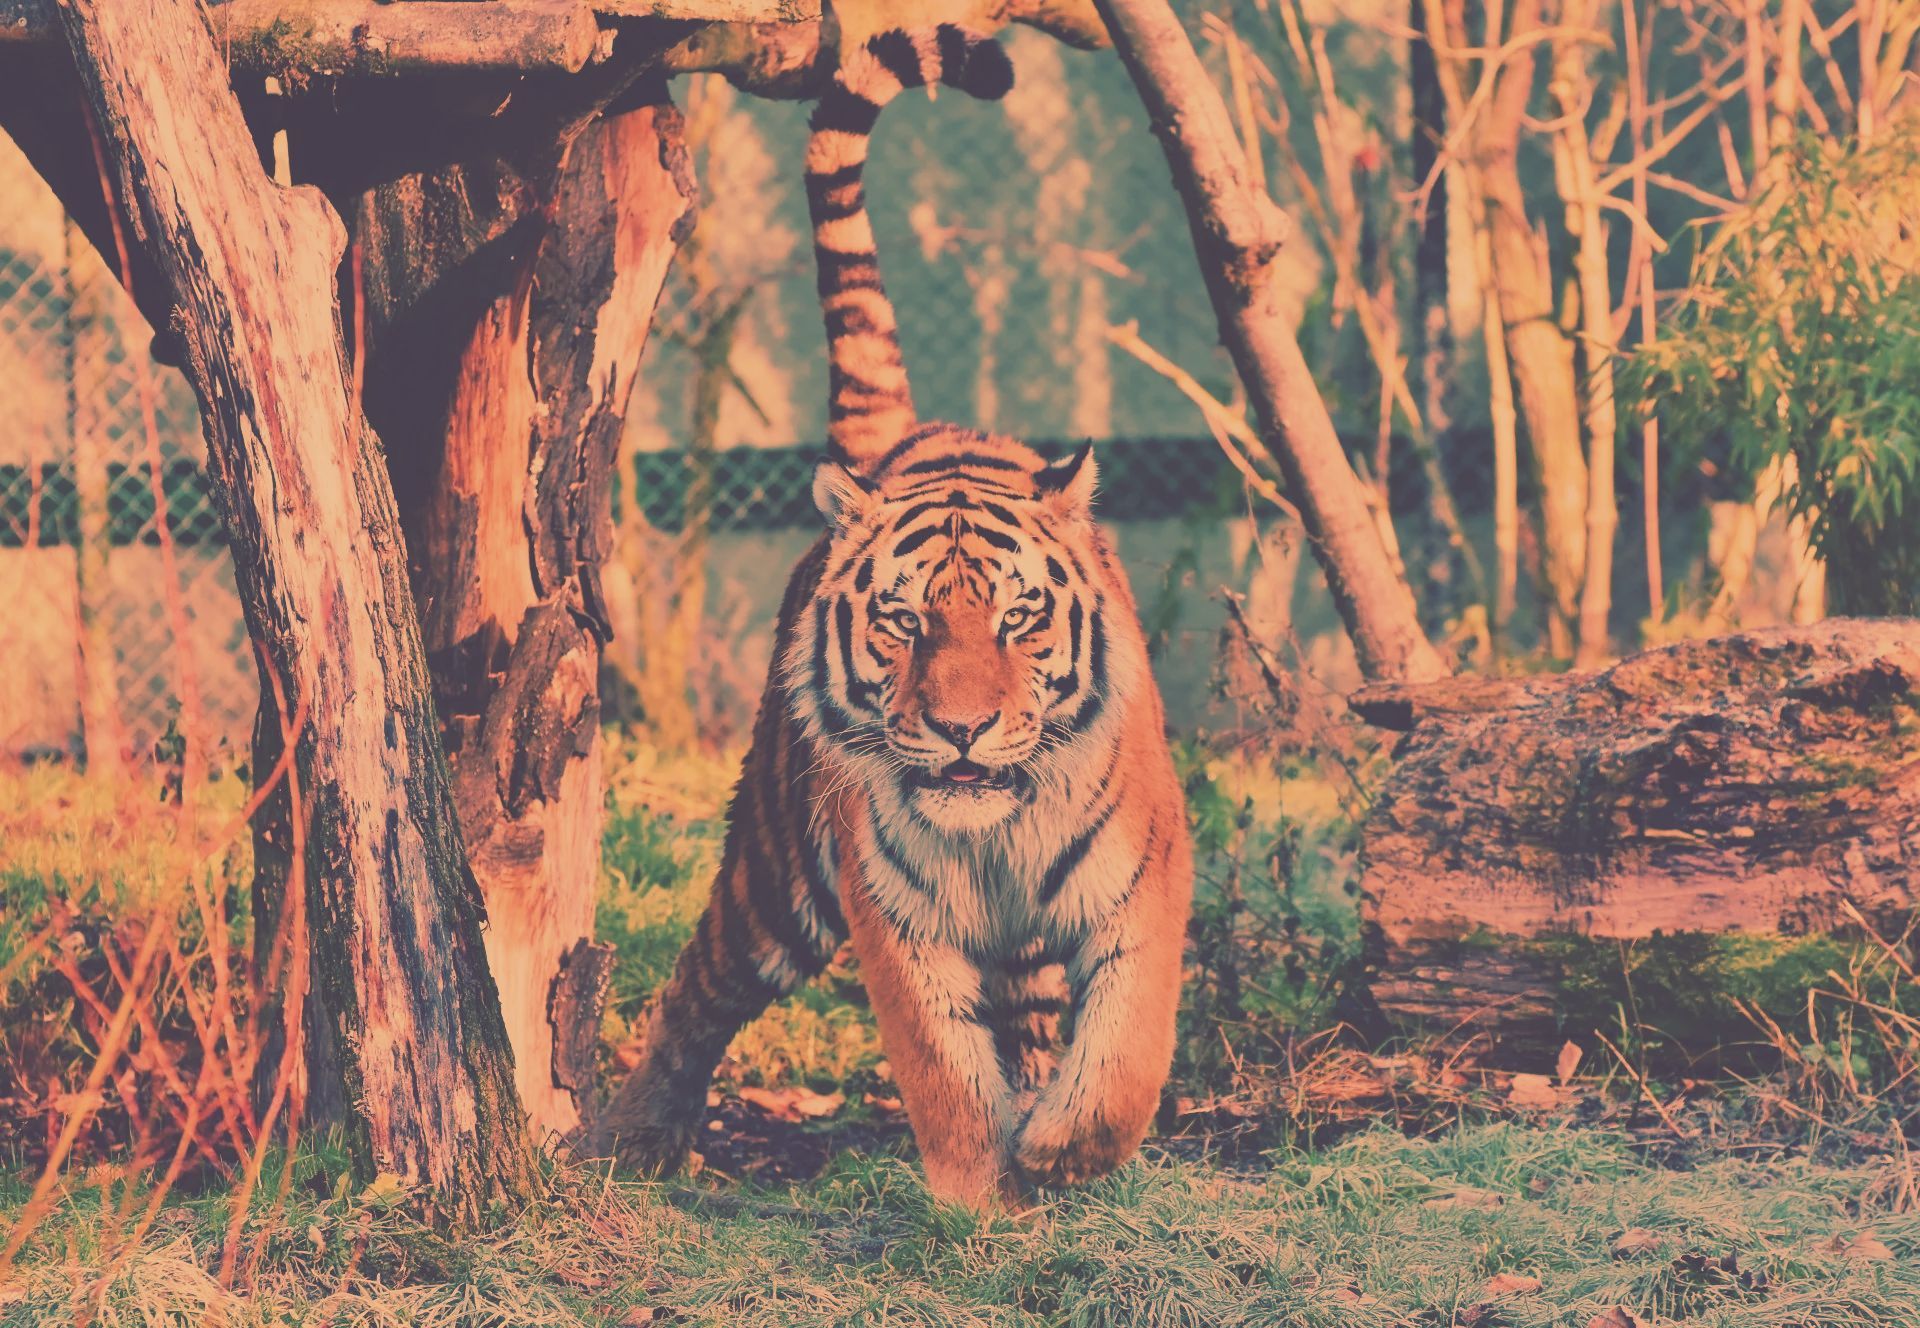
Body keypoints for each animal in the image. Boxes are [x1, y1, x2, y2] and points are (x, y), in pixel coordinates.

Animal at [597, 24, 1193, 1207]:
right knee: (698, 983)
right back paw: (637, 1134)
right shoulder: (895, 914)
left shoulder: (1145, 879)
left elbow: (1127, 1048)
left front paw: (1063, 1148)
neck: (998, 833)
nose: (962, 729)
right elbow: (942, 1068)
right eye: (905, 624)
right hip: (777, 873)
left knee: (1036, 1017)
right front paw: (973, 1189)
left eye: (1018, 619)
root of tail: (911, 436)